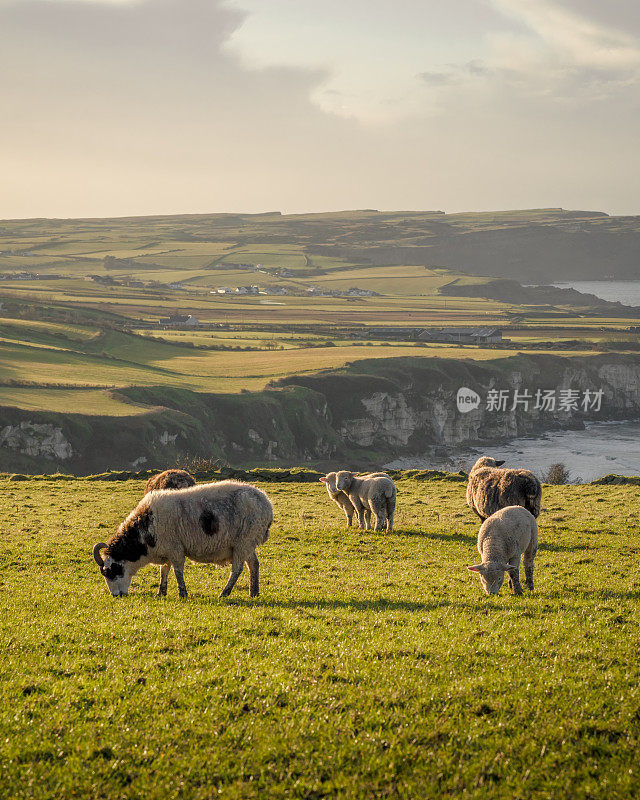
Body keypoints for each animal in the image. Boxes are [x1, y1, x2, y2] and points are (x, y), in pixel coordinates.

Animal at [91, 478, 272, 596]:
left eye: (111, 571)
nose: (116, 595)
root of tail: (266, 503)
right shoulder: (166, 550)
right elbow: (164, 570)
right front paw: (161, 592)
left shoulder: (176, 549)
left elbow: (177, 571)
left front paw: (182, 593)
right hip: (248, 544)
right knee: (254, 564)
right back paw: (254, 592)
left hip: (243, 542)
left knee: (237, 569)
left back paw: (225, 593)